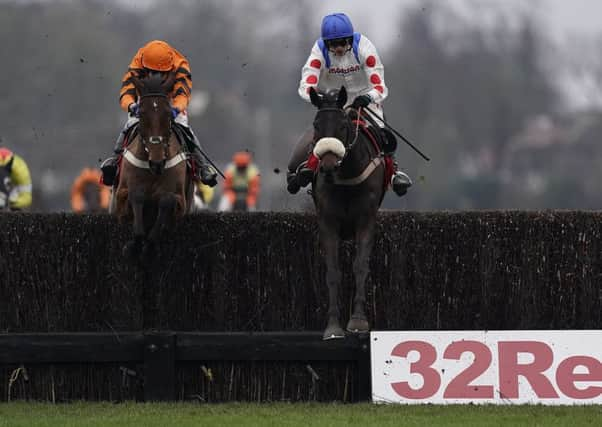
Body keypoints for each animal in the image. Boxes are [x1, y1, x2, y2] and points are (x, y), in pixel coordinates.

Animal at [113, 72, 193, 258]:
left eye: (168, 114)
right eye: (141, 114)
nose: (157, 162)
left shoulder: (180, 201)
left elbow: (167, 200)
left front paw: (149, 245)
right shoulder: (122, 194)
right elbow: (136, 195)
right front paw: (133, 246)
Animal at [304, 87, 384, 342]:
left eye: (341, 126)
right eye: (316, 124)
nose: (328, 166)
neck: (347, 176)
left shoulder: (366, 220)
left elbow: (360, 266)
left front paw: (358, 321)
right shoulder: (328, 222)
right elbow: (332, 271)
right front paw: (332, 327)